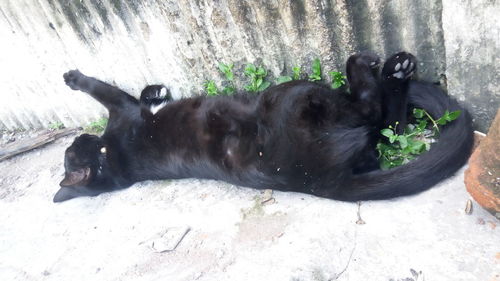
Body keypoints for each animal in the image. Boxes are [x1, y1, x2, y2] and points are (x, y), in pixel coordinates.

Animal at [53, 52, 472, 201]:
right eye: (76, 151)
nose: (79, 138)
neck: (112, 159)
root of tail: (320, 181)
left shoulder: (129, 111)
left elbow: (137, 95)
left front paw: (155, 90)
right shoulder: (123, 111)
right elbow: (101, 88)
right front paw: (73, 78)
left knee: (392, 125)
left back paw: (396, 71)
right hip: (297, 95)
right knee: (375, 115)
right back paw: (380, 66)